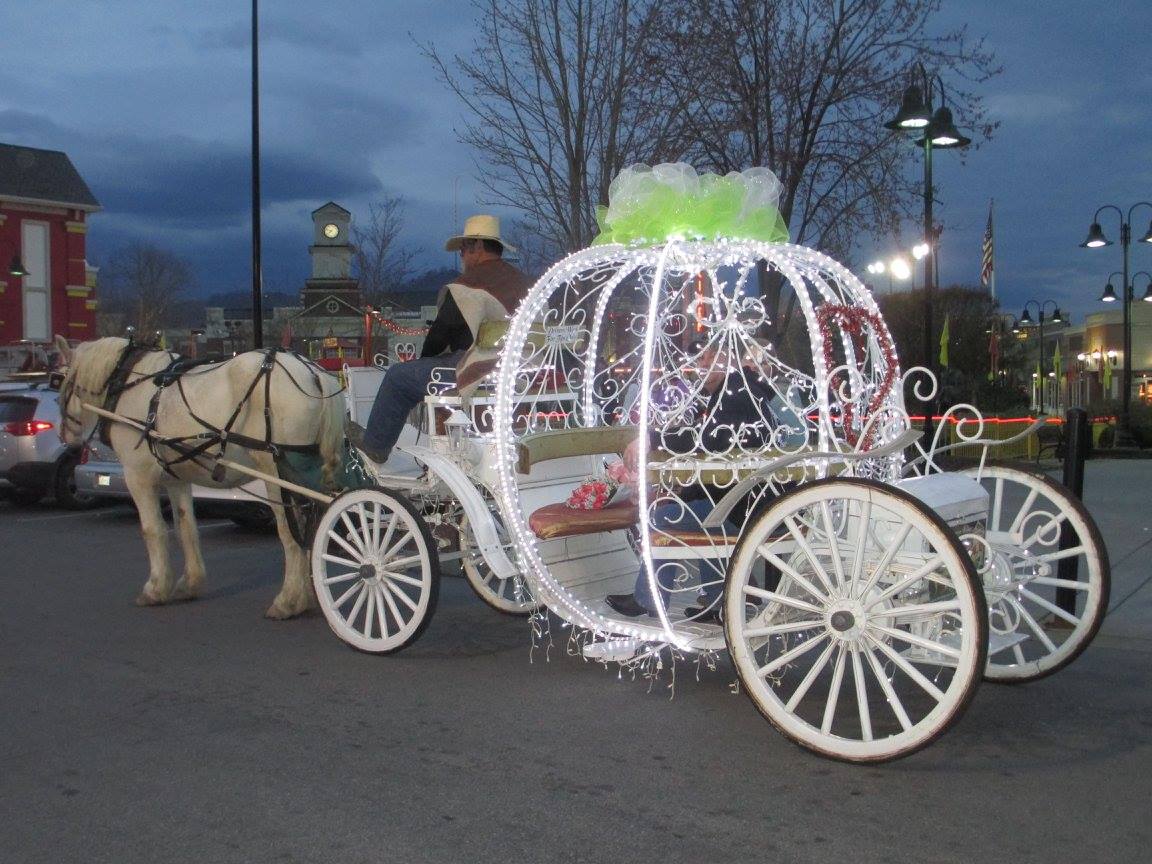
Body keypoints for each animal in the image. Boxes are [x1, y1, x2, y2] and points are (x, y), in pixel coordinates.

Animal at [57, 334, 345, 617]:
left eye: (61, 382)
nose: (66, 438)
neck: (127, 382)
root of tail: (314, 373)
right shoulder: (176, 479)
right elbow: (185, 528)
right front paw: (190, 583)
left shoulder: (137, 476)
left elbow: (152, 530)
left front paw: (155, 588)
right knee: (308, 528)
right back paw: (306, 594)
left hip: (276, 471)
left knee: (289, 531)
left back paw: (287, 600)